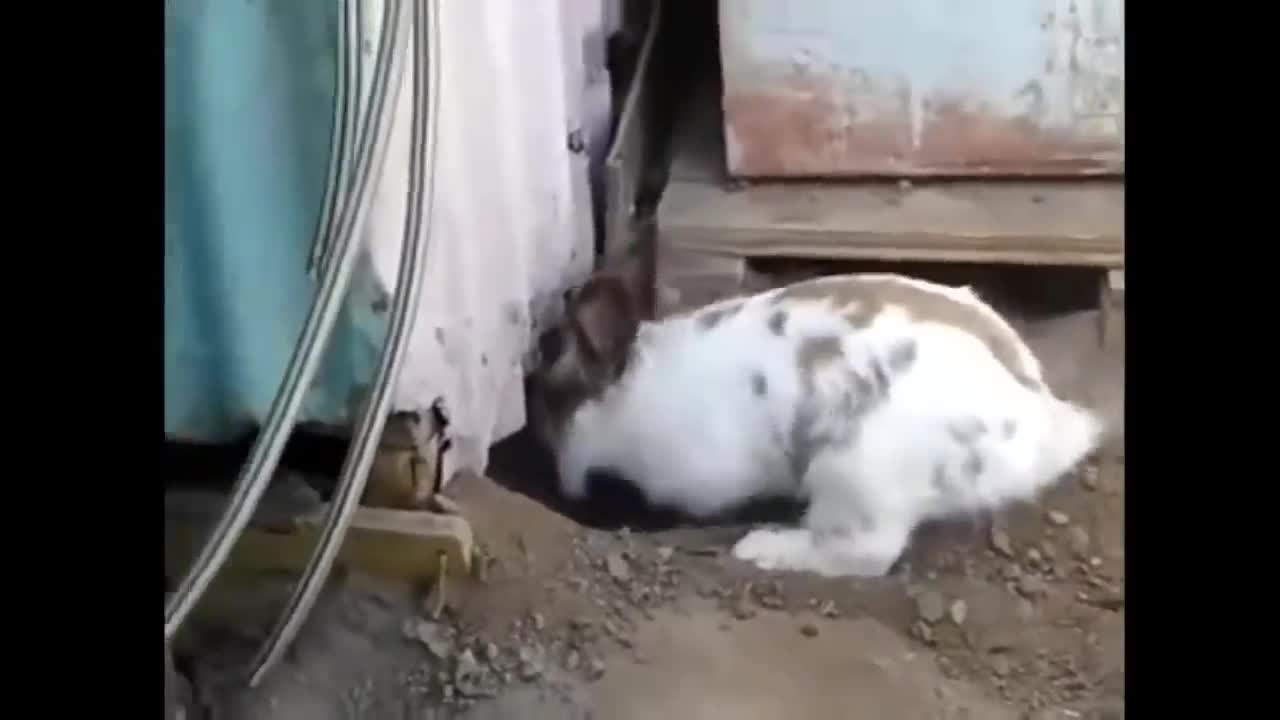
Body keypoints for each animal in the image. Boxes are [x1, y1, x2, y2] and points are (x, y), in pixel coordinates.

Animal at [524, 265, 1105, 576]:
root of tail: (1041, 422)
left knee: (864, 553)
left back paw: (761, 547)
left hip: (855, 475)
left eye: (552, 395)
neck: (628, 400)